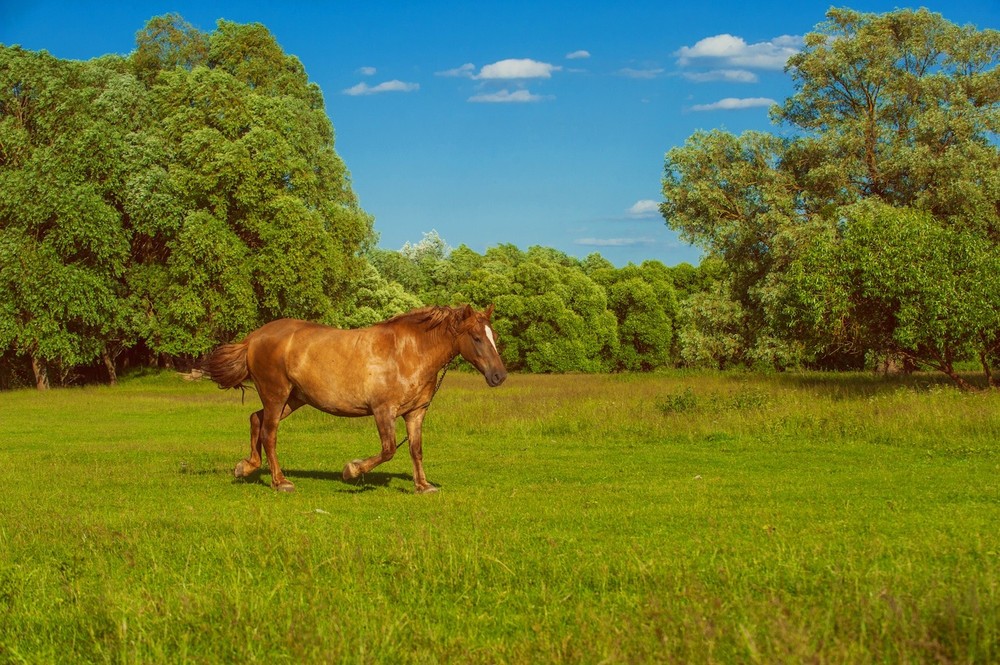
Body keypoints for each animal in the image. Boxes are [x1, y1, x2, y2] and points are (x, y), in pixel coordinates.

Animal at [200, 306, 508, 492]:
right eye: (476, 337)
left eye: (494, 335)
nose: (499, 375)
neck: (408, 353)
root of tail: (253, 338)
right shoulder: (383, 411)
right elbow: (388, 450)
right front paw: (351, 470)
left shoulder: (416, 413)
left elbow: (415, 450)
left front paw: (423, 486)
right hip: (276, 395)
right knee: (269, 434)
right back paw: (280, 481)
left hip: (293, 399)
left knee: (256, 419)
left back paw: (246, 467)